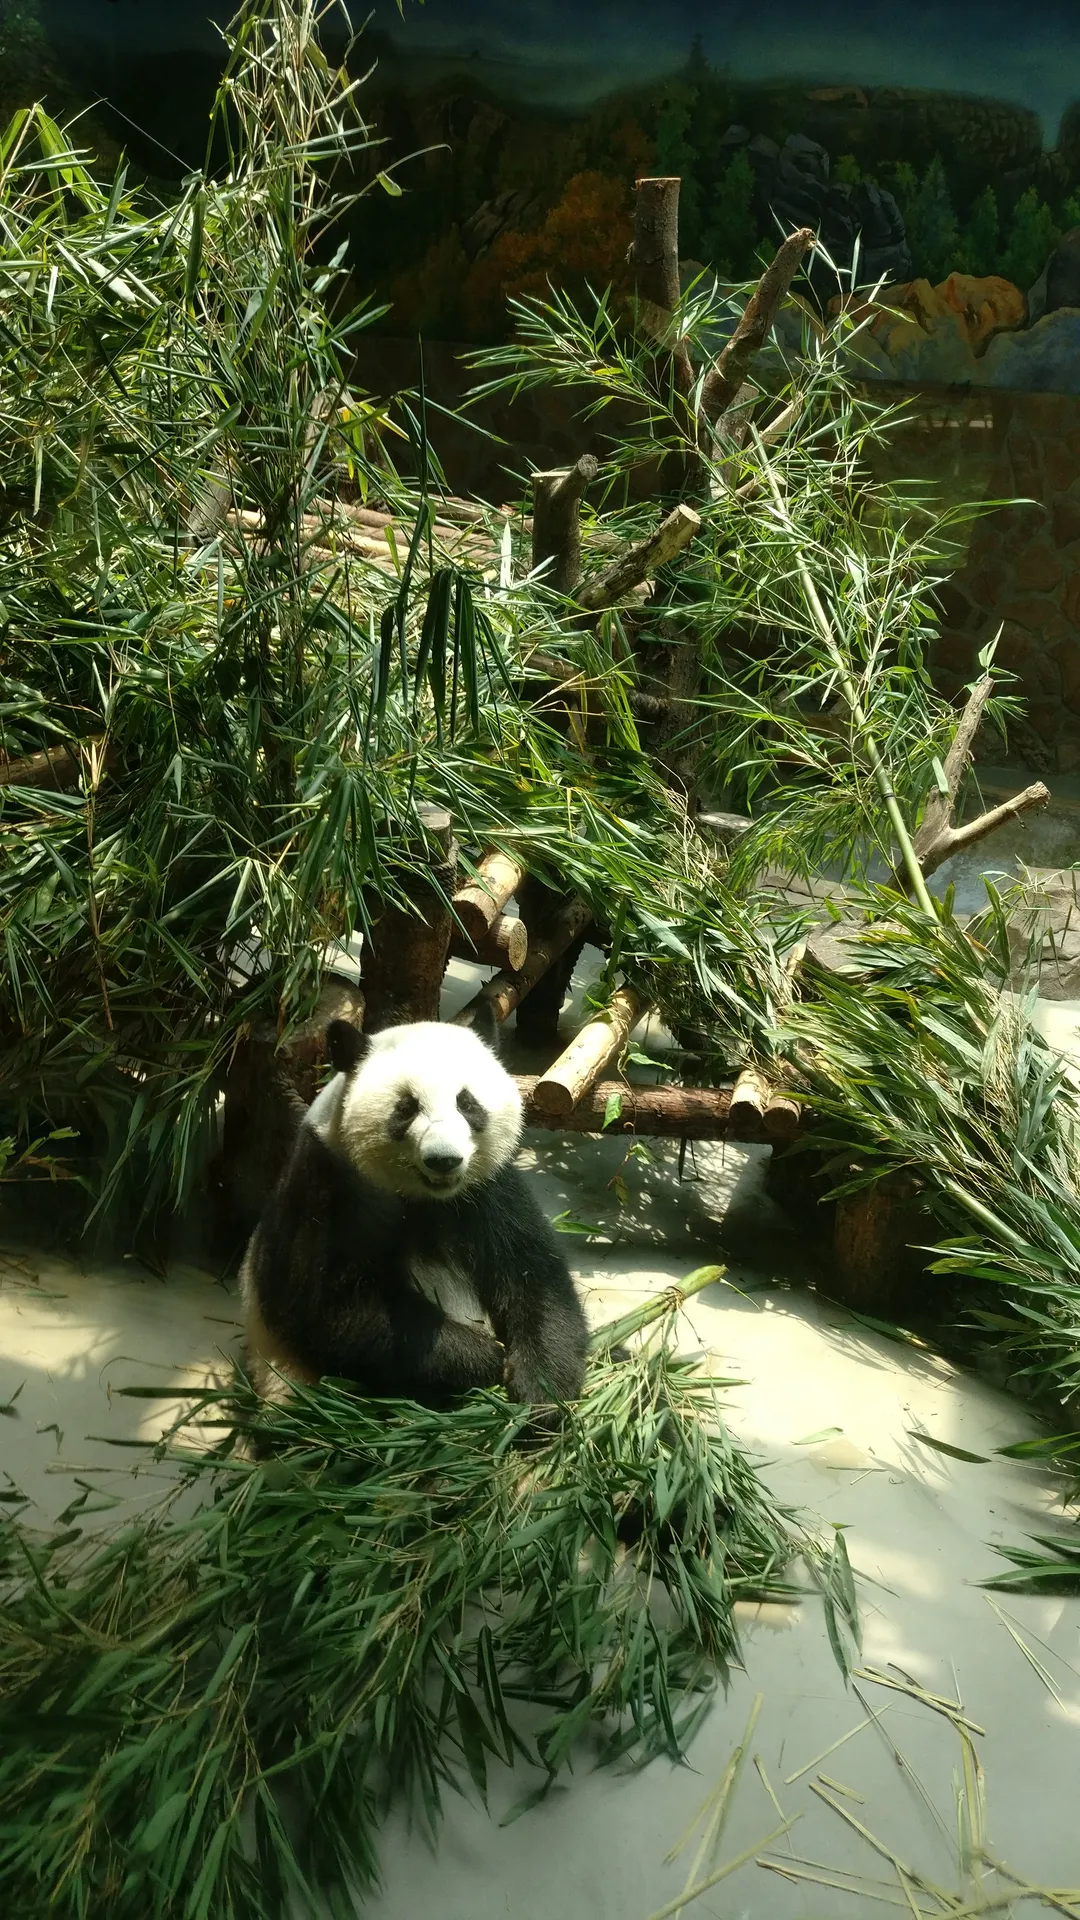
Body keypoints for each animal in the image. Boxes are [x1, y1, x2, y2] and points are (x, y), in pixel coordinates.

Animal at [239, 1006, 590, 1409]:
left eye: (467, 1103)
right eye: (406, 1108)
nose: (444, 1160)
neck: (426, 1198)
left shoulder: (488, 1189)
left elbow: (533, 1273)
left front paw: (542, 1388)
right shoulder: (329, 1189)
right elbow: (331, 1307)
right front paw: (485, 1358)